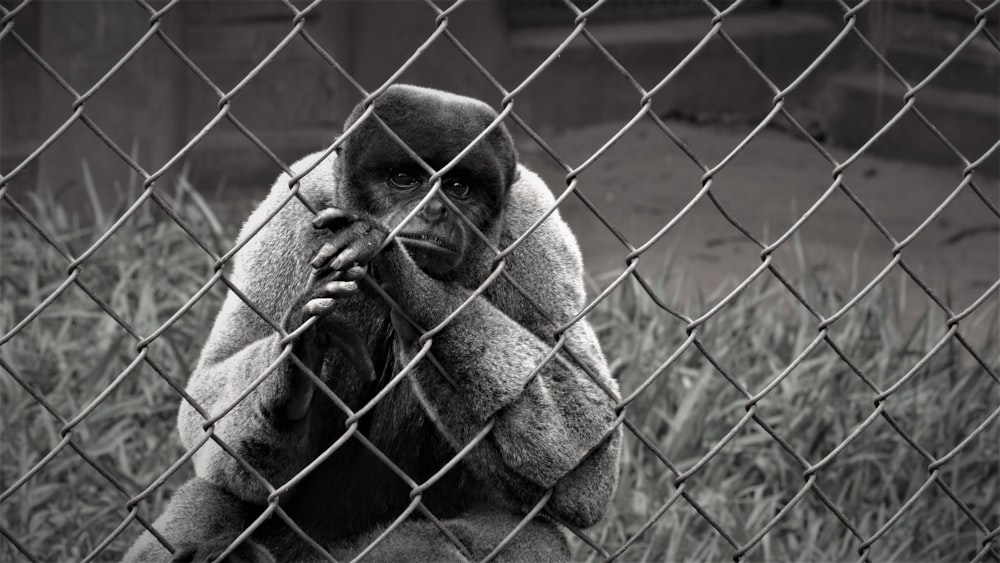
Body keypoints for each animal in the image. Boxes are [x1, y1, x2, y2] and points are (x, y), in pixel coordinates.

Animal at [126, 85, 620, 563]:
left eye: (458, 188)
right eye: (405, 180)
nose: (434, 210)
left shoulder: (535, 226)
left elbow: (592, 454)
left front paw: (395, 270)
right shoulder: (293, 205)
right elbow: (206, 399)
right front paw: (298, 355)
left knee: (527, 536)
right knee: (215, 498)